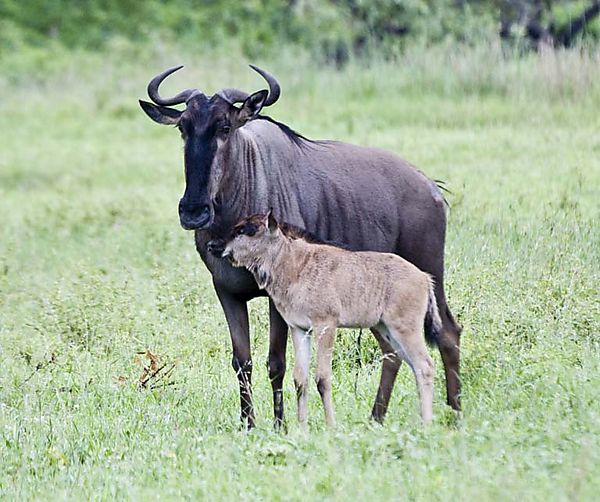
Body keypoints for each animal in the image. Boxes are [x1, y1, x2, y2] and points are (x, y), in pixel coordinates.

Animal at [220, 212, 440, 428]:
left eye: (246, 230)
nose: (218, 248)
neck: (294, 264)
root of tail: (424, 278)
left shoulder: (325, 324)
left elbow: (323, 378)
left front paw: (331, 426)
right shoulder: (299, 329)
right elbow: (300, 379)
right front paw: (302, 426)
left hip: (405, 328)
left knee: (425, 366)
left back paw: (427, 423)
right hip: (387, 329)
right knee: (413, 366)